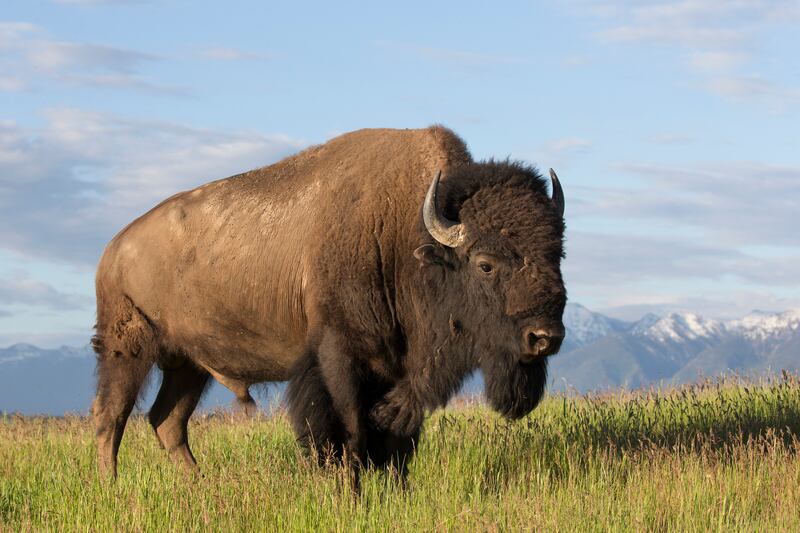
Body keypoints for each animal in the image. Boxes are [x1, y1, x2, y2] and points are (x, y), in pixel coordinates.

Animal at [92, 127, 568, 480]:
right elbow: (348, 434)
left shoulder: (400, 371)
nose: (545, 337)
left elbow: (398, 443)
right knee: (110, 417)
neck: (405, 233)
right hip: (126, 350)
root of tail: (115, 248)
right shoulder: (338, 357)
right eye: (485, 264)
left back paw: (200, 484)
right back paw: (110, 488)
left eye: (557, 253)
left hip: (189, 364)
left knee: (167, 421)